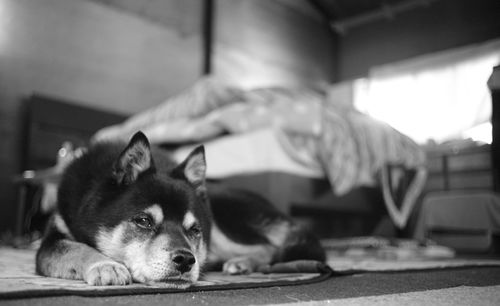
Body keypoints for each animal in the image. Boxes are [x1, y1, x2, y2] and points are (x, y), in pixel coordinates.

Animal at [35, 131, 324, 286]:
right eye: (143, 221)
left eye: (194, 230)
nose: (186, 260)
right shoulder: (52, 240)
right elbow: (76, 248)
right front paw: (106, 265)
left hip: (222, 227)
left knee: (267, 248)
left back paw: (241, 263)